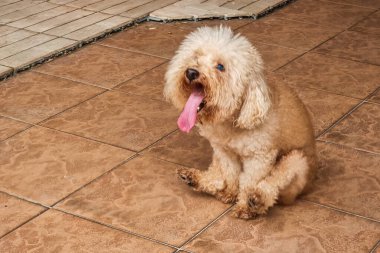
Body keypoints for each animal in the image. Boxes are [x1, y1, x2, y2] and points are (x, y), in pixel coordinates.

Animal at [165, 26, 316, 219]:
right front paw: (230, 193)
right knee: (216, 176)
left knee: (272, 185)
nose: (191, 72)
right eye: (196, 56)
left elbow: (248, 182)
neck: (233, 120)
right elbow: (230, 175)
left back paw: (256, 201)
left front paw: (244, 205)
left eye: (220, 67)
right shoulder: (224, 151)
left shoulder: (259, 158)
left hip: (296, 161)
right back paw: (194, 178)